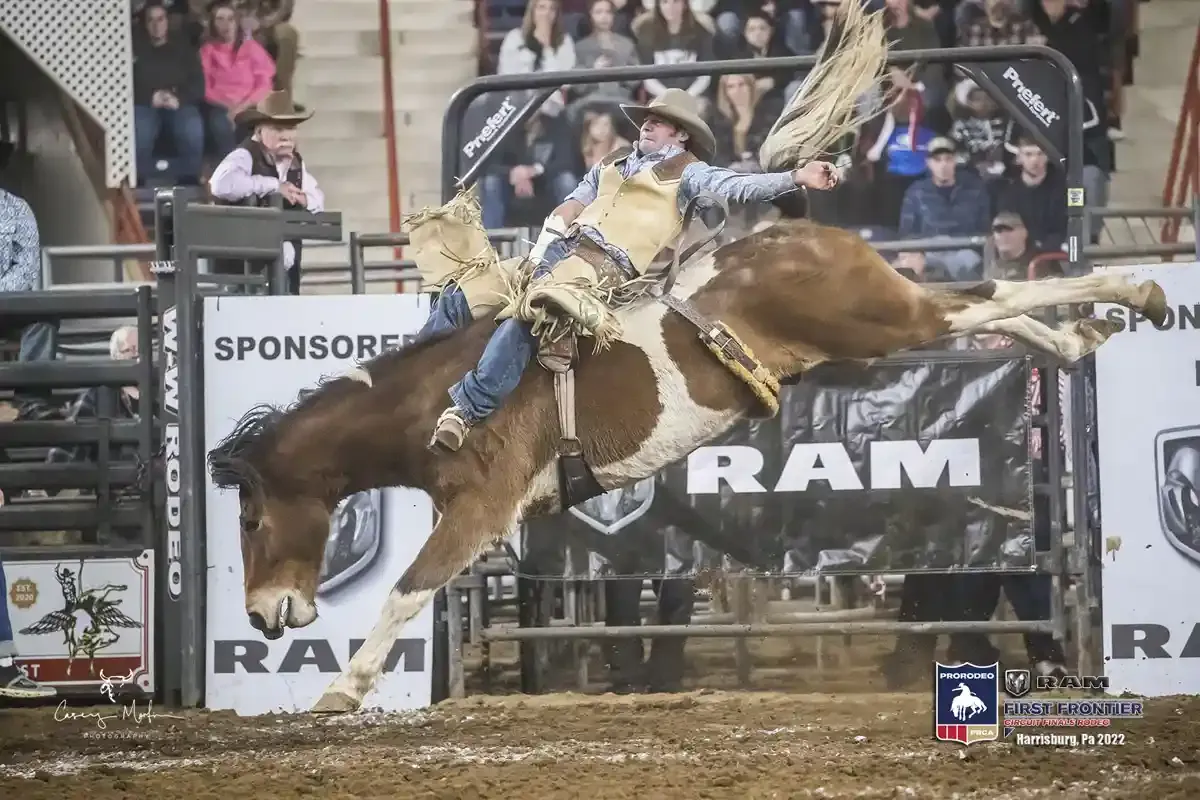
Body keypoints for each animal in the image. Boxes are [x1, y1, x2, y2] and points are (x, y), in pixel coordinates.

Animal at [206, 0, 1161, 714]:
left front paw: (340, 691)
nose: (262, 618)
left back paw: (1137, 292)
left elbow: (408, 588)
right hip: (885, 319)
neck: (428, 396)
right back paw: (1085, 333)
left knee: (990, 299)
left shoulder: (480, 508)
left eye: (249, 518)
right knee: (985, 302)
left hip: (881, 320)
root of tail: (794, 228)